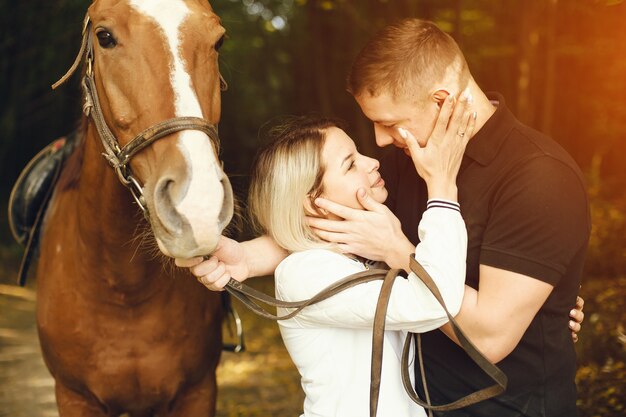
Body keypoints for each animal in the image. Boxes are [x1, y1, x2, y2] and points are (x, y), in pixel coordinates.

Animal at [34, 1, 229, 414]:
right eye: (104, 37)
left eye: (218, 41)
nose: (197, 206)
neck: (124, 291)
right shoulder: (73, 396)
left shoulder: (199, 391)